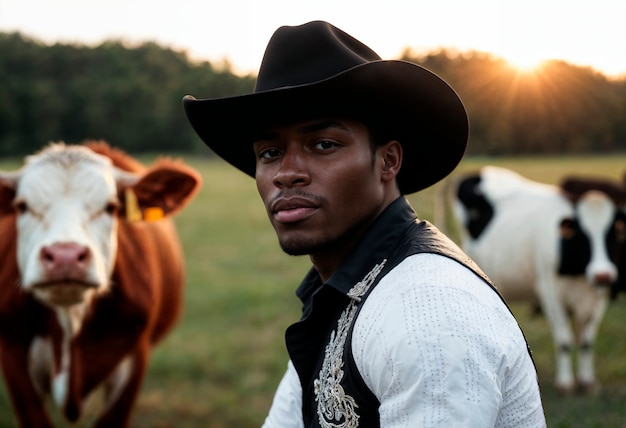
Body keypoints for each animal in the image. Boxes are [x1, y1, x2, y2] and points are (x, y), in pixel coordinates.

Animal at [450, 166, 620, 392]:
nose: (603, 274)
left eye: (612, 235)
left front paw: (587, 381)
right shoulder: (549, 291)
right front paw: (565, 383)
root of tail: (479, 171)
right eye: (583, 235)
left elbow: (586, 342)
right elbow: (564, 340)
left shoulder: (599, 296)